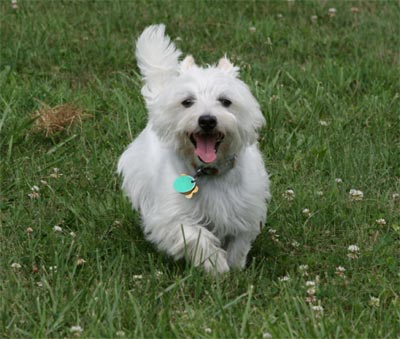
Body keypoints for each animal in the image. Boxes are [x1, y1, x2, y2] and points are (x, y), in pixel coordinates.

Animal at [117, 24, 270, 274]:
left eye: (225, 101)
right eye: (187, 102)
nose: (207, 120)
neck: (209, 172)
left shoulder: (245, 209)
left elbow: (239, 241)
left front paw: (235, 267)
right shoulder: (172, 216)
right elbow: (196, 236)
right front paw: (217, 266)